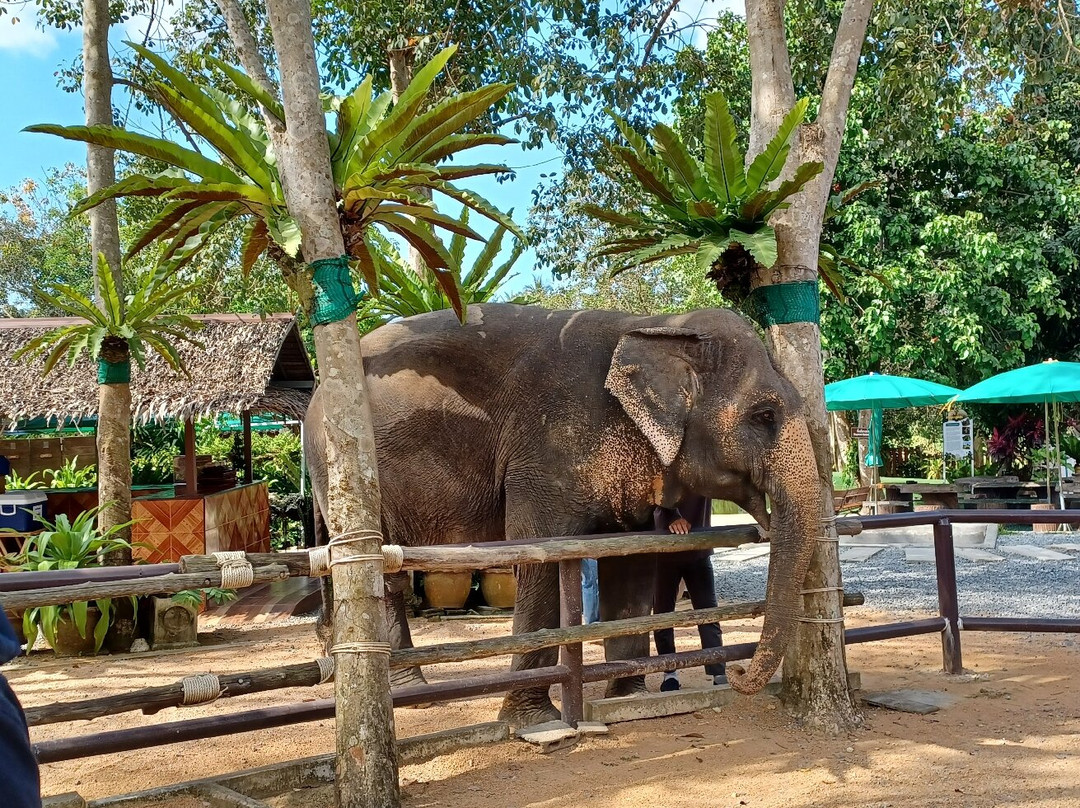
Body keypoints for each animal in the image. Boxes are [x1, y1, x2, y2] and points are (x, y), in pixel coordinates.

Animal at [304, 302, 822, 729]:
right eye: (764, 416)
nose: (737, 672)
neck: (660, 325)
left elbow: (630, 561)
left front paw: (625, 699)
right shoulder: (544, 452)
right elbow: (542, 559)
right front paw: (535, 723)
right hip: (341, 466)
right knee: (382, 575)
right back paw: (412, 693)